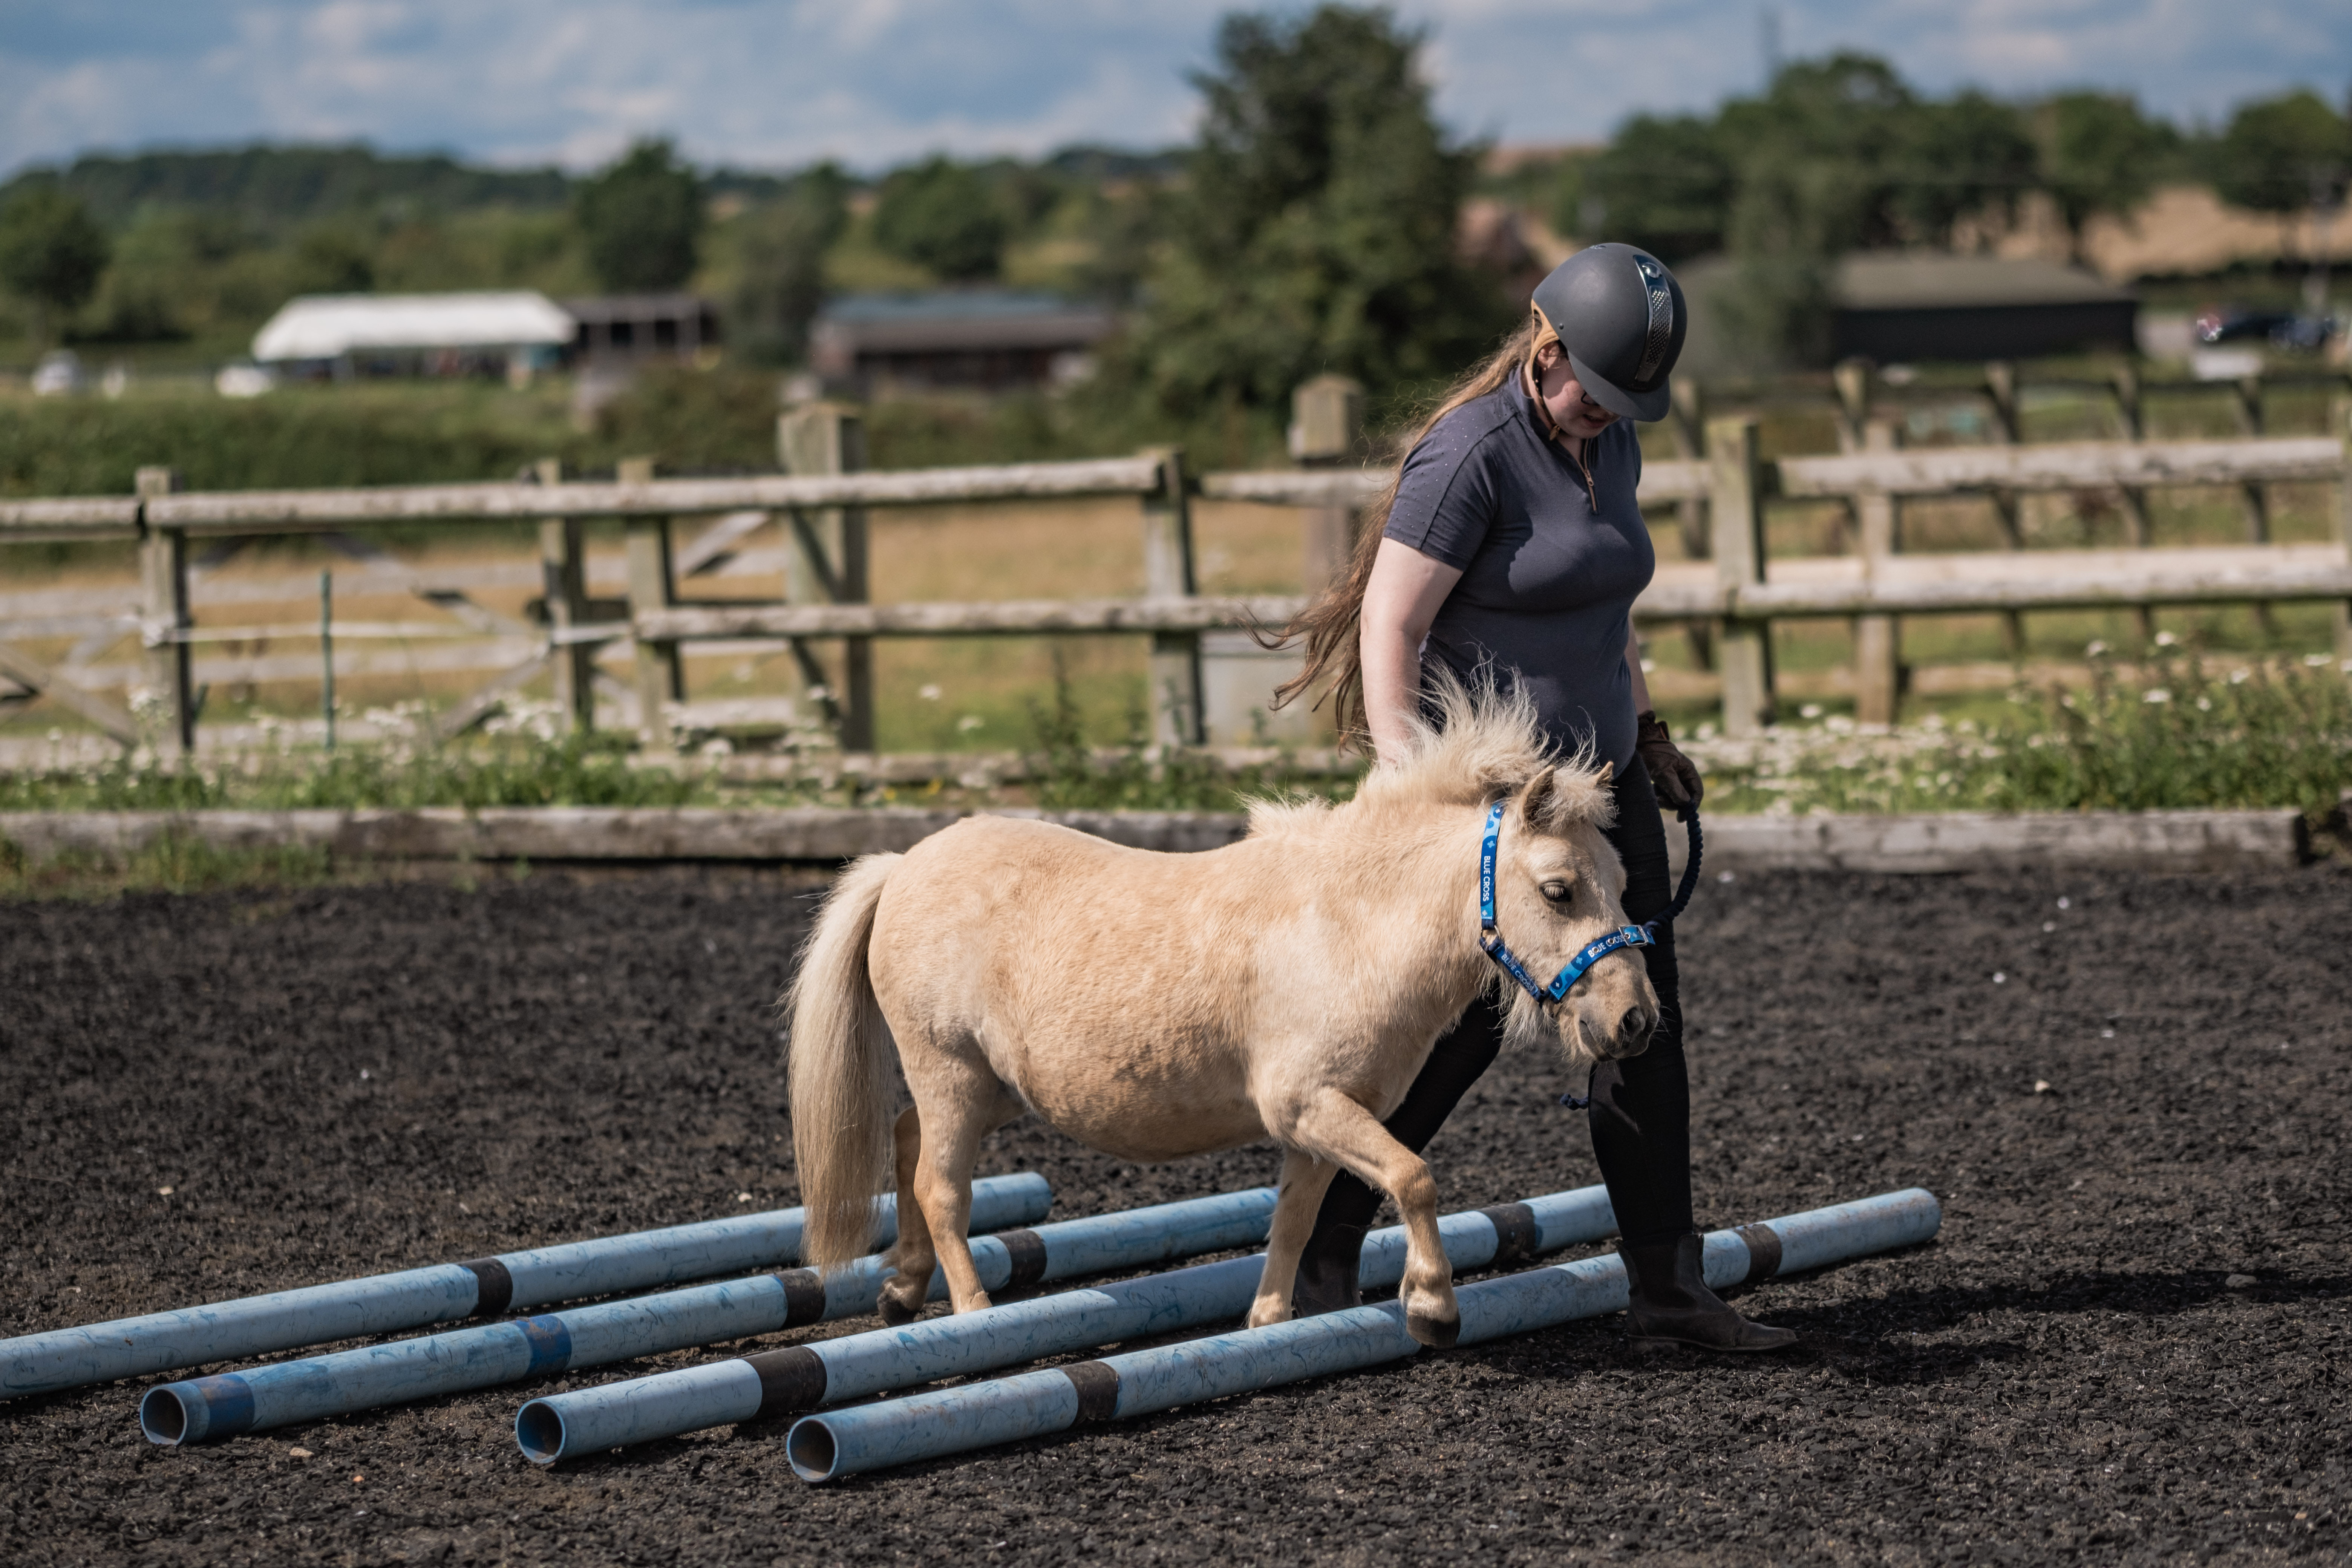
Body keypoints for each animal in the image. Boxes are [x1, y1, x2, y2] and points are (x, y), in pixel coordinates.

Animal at [784, 678, 1659, 1347]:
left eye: (1623, 880)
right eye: (1559, 890)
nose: (1635, 1022)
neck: (1349, 925)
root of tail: (903, 865)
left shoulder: (1323, 1121)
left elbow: (1295, 1220)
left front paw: (1267, 1323)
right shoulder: (1307, 1104)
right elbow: (1414, 1178)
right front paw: (1433, 1307)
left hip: (994, 1090)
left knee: (907, 1140)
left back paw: (902, 1291)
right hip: (952, 1073)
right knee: (941, 1189)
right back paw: (975, 1316)